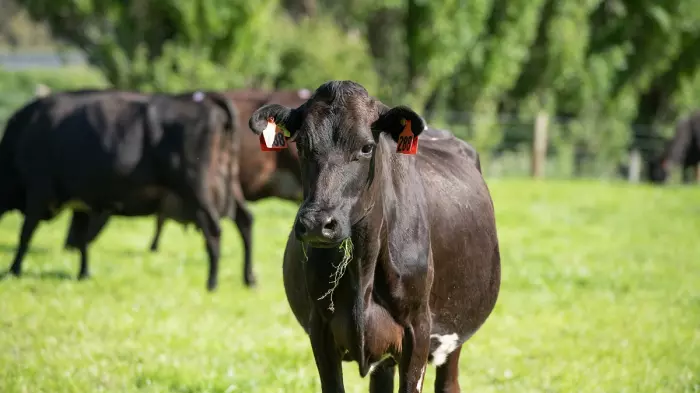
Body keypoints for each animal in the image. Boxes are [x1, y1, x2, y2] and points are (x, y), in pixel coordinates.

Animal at [0, 89, 239, 290]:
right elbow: (81, 240)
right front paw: (83, 273)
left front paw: (13, 270)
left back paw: (212, 283)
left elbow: (25, 234)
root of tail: (202, 100)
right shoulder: (81, 204)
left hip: (196, 189)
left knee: (213, 230)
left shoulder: (38, 194)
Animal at [249, 80, 500, 392]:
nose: (317, 223)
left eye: (367, 147)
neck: (363, 266)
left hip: (454, 336)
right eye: (302, 145)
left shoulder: (418, 330)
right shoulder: (320, 329)